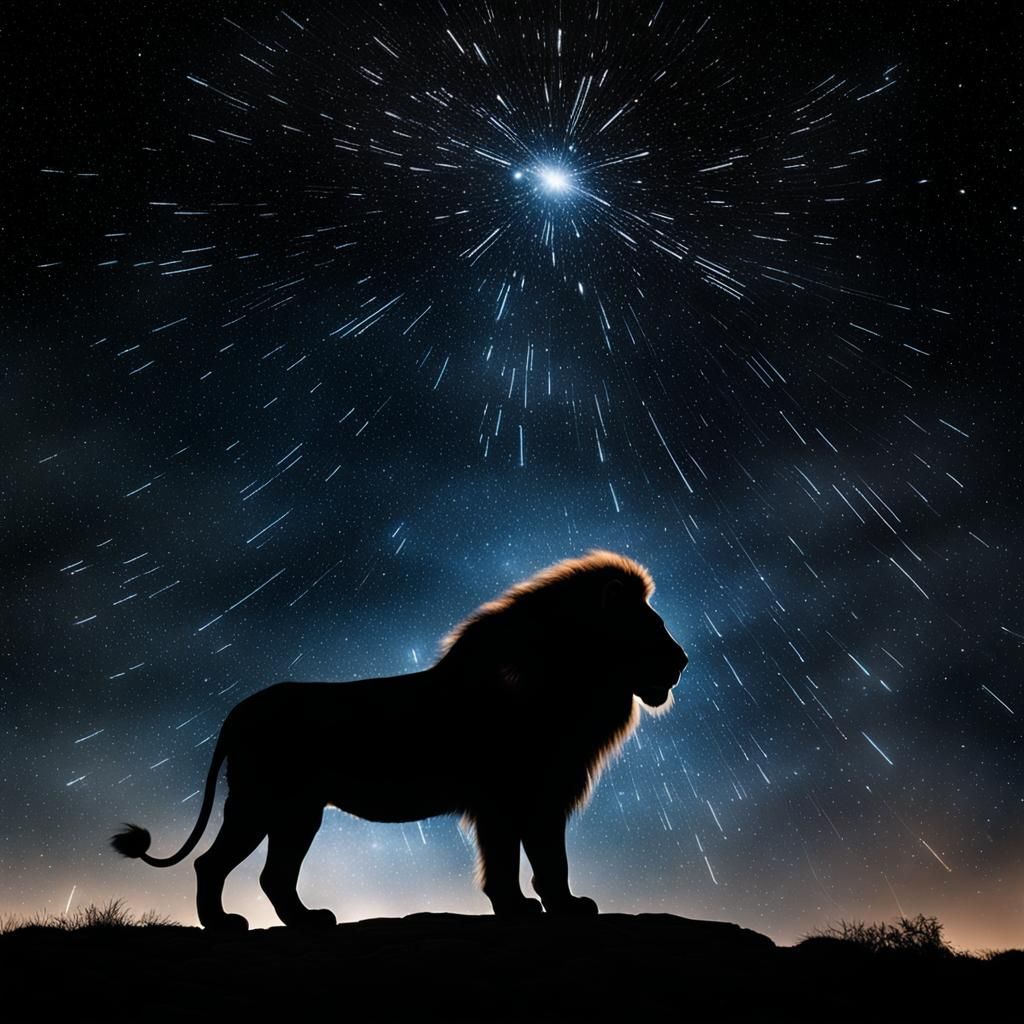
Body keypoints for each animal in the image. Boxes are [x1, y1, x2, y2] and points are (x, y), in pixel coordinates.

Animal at [111, 550, 687, 930]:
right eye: (651, 626)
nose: (683, 661)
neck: (579, 681)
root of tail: (240, 708)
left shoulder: (525, 798)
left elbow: (528, 862)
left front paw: (532, 906)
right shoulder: (517, 798)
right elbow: (537, 861)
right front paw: (553, 908)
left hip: (298, 811)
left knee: (275, 876)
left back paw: (308, 920)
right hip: (263, 801)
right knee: (213, 863)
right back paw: (224, 923)